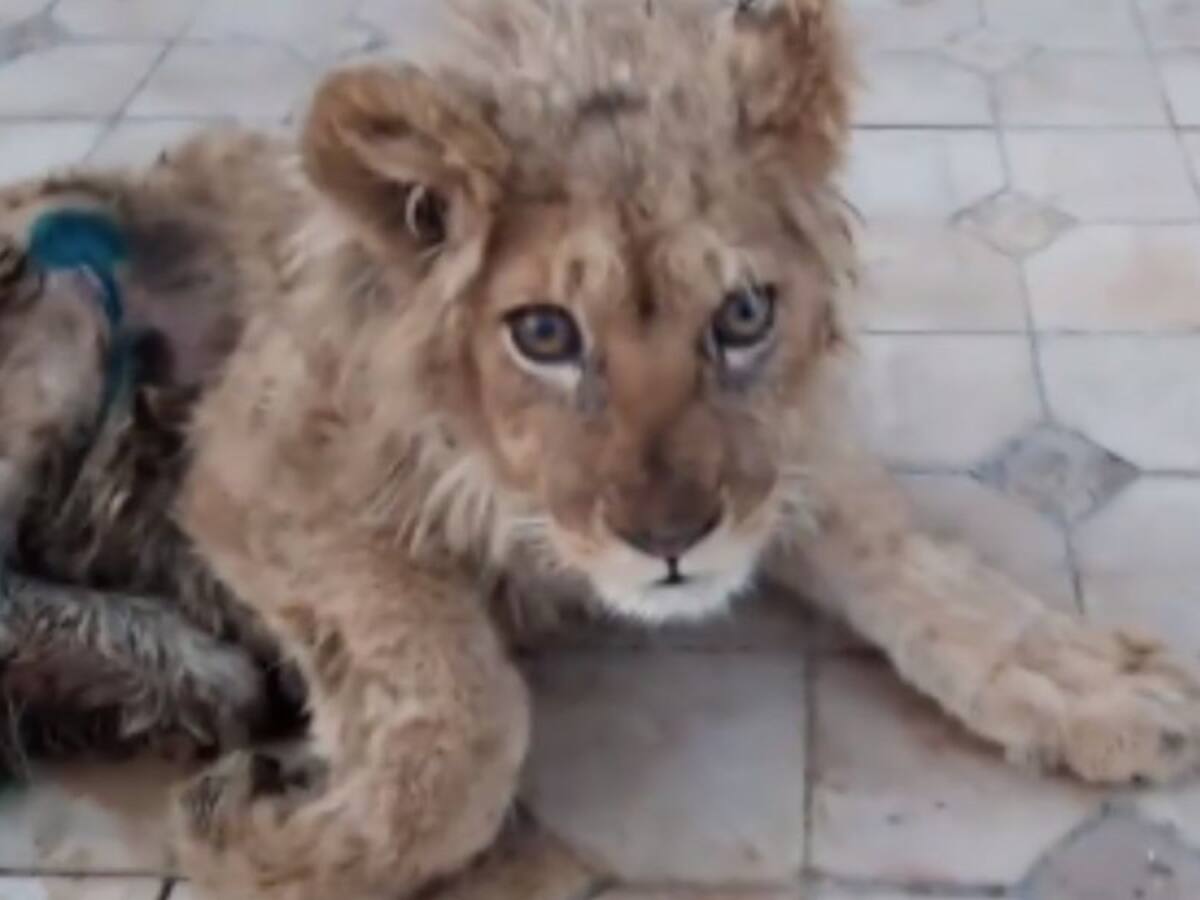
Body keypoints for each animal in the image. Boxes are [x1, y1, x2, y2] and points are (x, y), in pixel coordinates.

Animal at [2, 0, 1199, 898]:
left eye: (744, 316)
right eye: (544, 334)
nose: (672, 544)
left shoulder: (778, 456)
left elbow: (916, 567)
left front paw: (1080, 680)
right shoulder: (252, 465)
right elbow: (468, 717)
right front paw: (272, 835)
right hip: (55, 288)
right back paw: (174, 665)